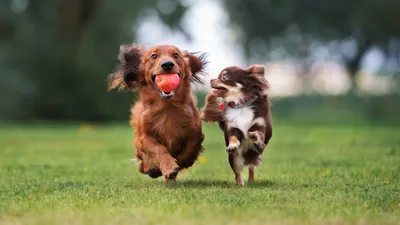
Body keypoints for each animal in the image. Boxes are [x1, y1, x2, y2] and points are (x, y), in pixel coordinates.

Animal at [107, 44, 206, 181]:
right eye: (153, 56)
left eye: (176, 55)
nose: (167, 64)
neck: (167, 107)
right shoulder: (145, 138)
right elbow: (159, 149)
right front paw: (168, 167)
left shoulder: (196, 134)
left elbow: (190, 149)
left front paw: (180, 163)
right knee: (142, 166)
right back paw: (152, 169)